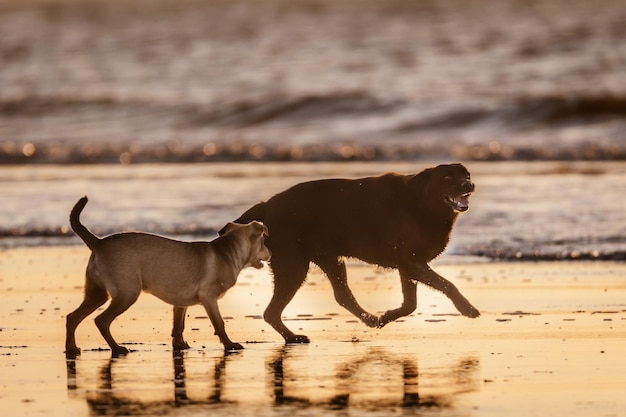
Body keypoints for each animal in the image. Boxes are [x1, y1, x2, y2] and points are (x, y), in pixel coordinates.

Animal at [66, 196, 270, 358]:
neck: (228, 250)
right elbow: (219, 323)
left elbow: (178, 326)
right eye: (263, 242)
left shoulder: (180, 303)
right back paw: (116, 348)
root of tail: (98, 243)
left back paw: (71, 348)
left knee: (72, 317)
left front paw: (179, 346)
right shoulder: (209, 298)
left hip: (97, 294)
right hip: (127, 294)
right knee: (101, 321)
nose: (271, 253)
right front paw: (229, 345)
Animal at [222, 162, 480, 342]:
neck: (421, 202)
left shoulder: (409, 265)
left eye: (466, 175)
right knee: (272, 312)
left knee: (342, 296)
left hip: (330, 260)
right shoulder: (410, 262)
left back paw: (370, 319)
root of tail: (266, 206)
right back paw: (294, 337)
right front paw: (467, 308)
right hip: (294, 266)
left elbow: (411, 304)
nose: (469, 185)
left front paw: (385, 317)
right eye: (447, 177)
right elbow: (447, 285)